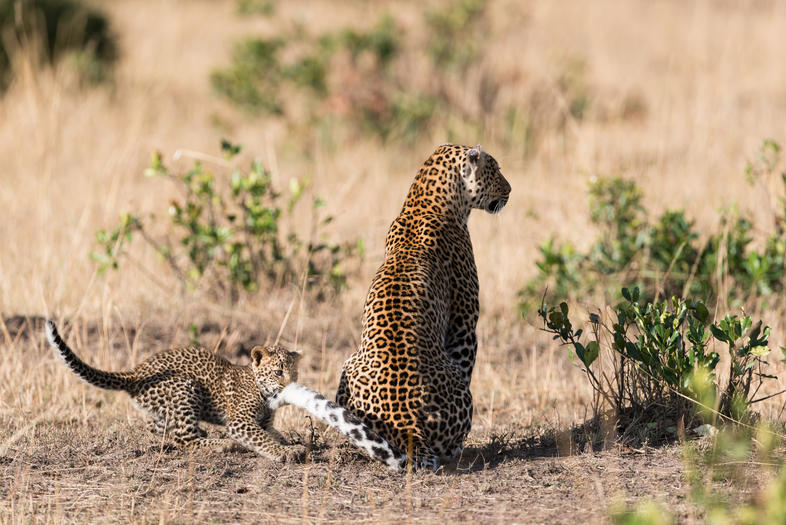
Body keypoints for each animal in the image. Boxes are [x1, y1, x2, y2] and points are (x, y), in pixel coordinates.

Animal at [44, 318, 304, 460]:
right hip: (185, 387)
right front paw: (285, 452)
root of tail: (136, 372)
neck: (264, 393)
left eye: (295, 374)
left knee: (155, 426)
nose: (290, 386)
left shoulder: (265, 423)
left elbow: (274, 434)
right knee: (184, 438)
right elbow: (262, 439)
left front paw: (293, 444)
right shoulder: (240, 421)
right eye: (278, 372)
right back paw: (223, 444)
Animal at [332, 142, 508, 466]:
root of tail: (408, 425)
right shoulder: (464, 325)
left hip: (348, 364)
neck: (422, 201)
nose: (510, 191)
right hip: (457, 387)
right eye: (494, 169)